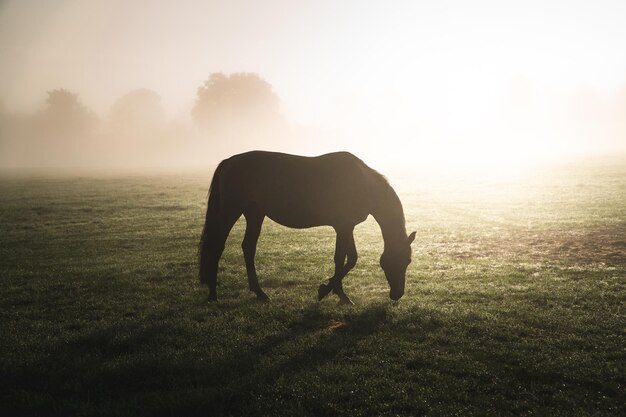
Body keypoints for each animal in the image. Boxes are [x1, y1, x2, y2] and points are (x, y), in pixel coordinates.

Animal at [199, 150, 414, 302]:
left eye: (408, 261)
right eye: (400, 261)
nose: (397, 294)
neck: (363, 183)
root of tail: (229, 161)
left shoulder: (346, 227)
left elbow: (349, 258)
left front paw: (337, 292)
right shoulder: (343, 227)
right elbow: (343, 259)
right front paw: (328, 291)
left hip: (255, 214)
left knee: (248, 247)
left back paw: (259, 293)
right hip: (231, 211)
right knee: (217, 246)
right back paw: (213, 293)